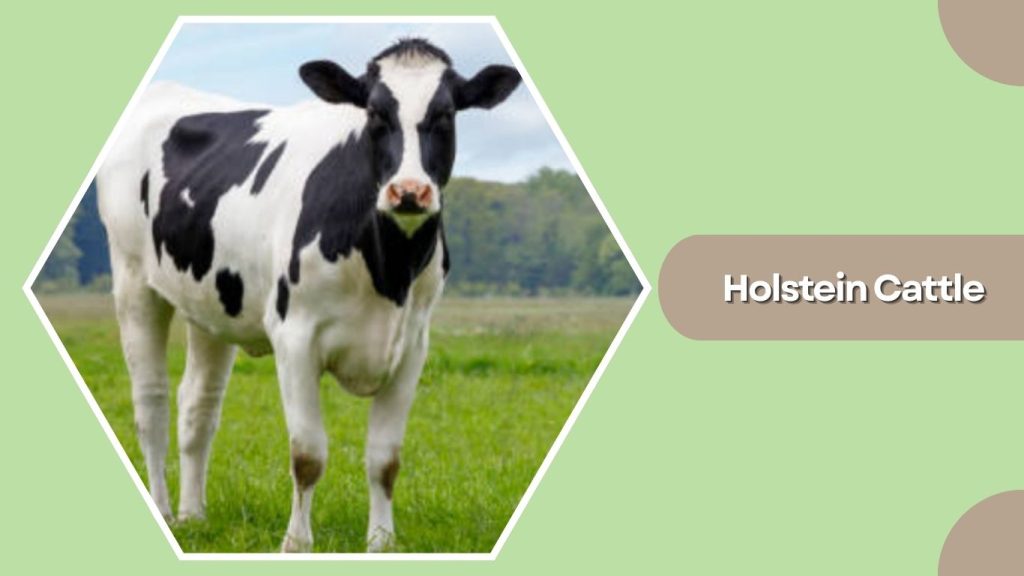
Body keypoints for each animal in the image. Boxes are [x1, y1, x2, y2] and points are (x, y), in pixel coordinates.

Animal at [96, 38, 521, 552]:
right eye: (375, 113)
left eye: (445, 114)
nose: (408, 191)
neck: (388, 270)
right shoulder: (294, 336)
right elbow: (308, 454)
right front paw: (296, 542)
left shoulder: (412, 346)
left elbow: (385, 458)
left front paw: (381, 541)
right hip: (133, 279)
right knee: (151, 402)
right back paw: (161, 508)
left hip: (209, 302)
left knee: (198, 403)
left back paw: (193, 515)